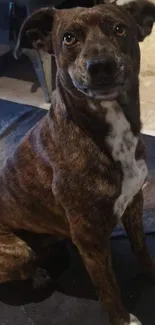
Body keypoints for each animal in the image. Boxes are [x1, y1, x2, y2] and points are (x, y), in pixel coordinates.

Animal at [0, 0, 155, 324]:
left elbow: (141, 248)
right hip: (18, 252)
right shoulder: (89, 236)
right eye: (68, 38)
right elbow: (108, 286)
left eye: (119, 29)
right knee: (26, 265)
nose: (101, 65)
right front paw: (123, 319)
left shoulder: (134, 203)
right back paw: (38, 276)